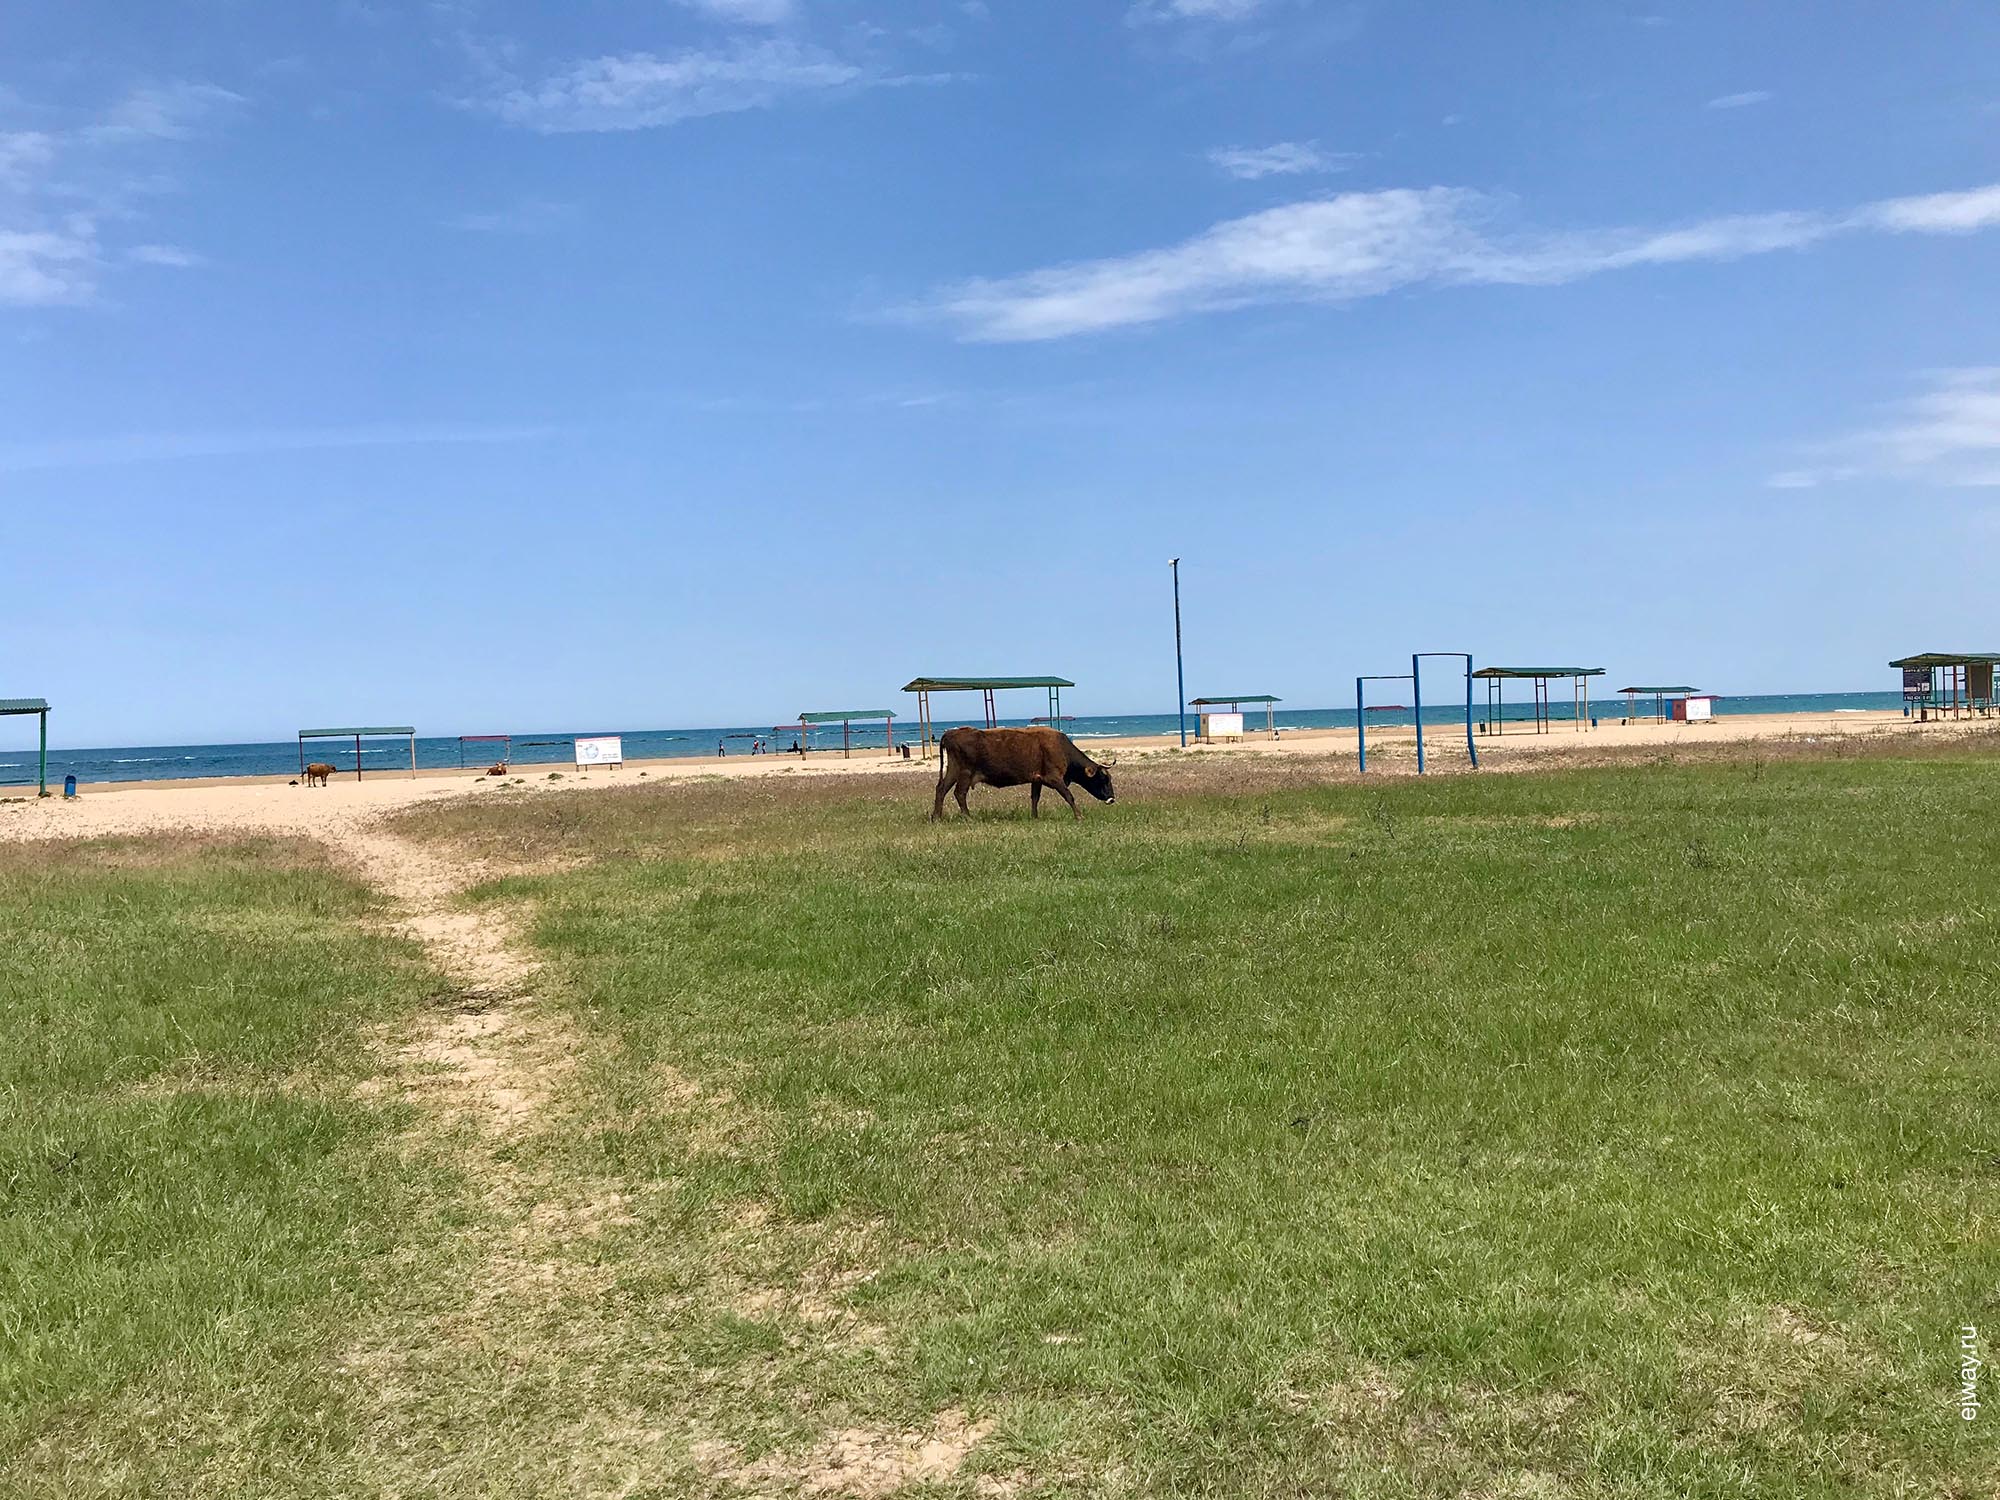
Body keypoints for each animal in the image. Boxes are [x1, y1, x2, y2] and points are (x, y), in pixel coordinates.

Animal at [932, 726, 1115, 821]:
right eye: (1103, 779)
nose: (1112, 799)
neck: (1061, 748)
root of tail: (951, 733)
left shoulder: (1037, 779)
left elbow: (1035, 798)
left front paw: (1034, 817)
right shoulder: (1054, 778)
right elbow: (1069, 796)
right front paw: (1079, 816)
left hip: (953, 770)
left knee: (941, 789)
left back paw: (936, 818)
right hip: (965, 773)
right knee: (959, 793)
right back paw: (968, 818)